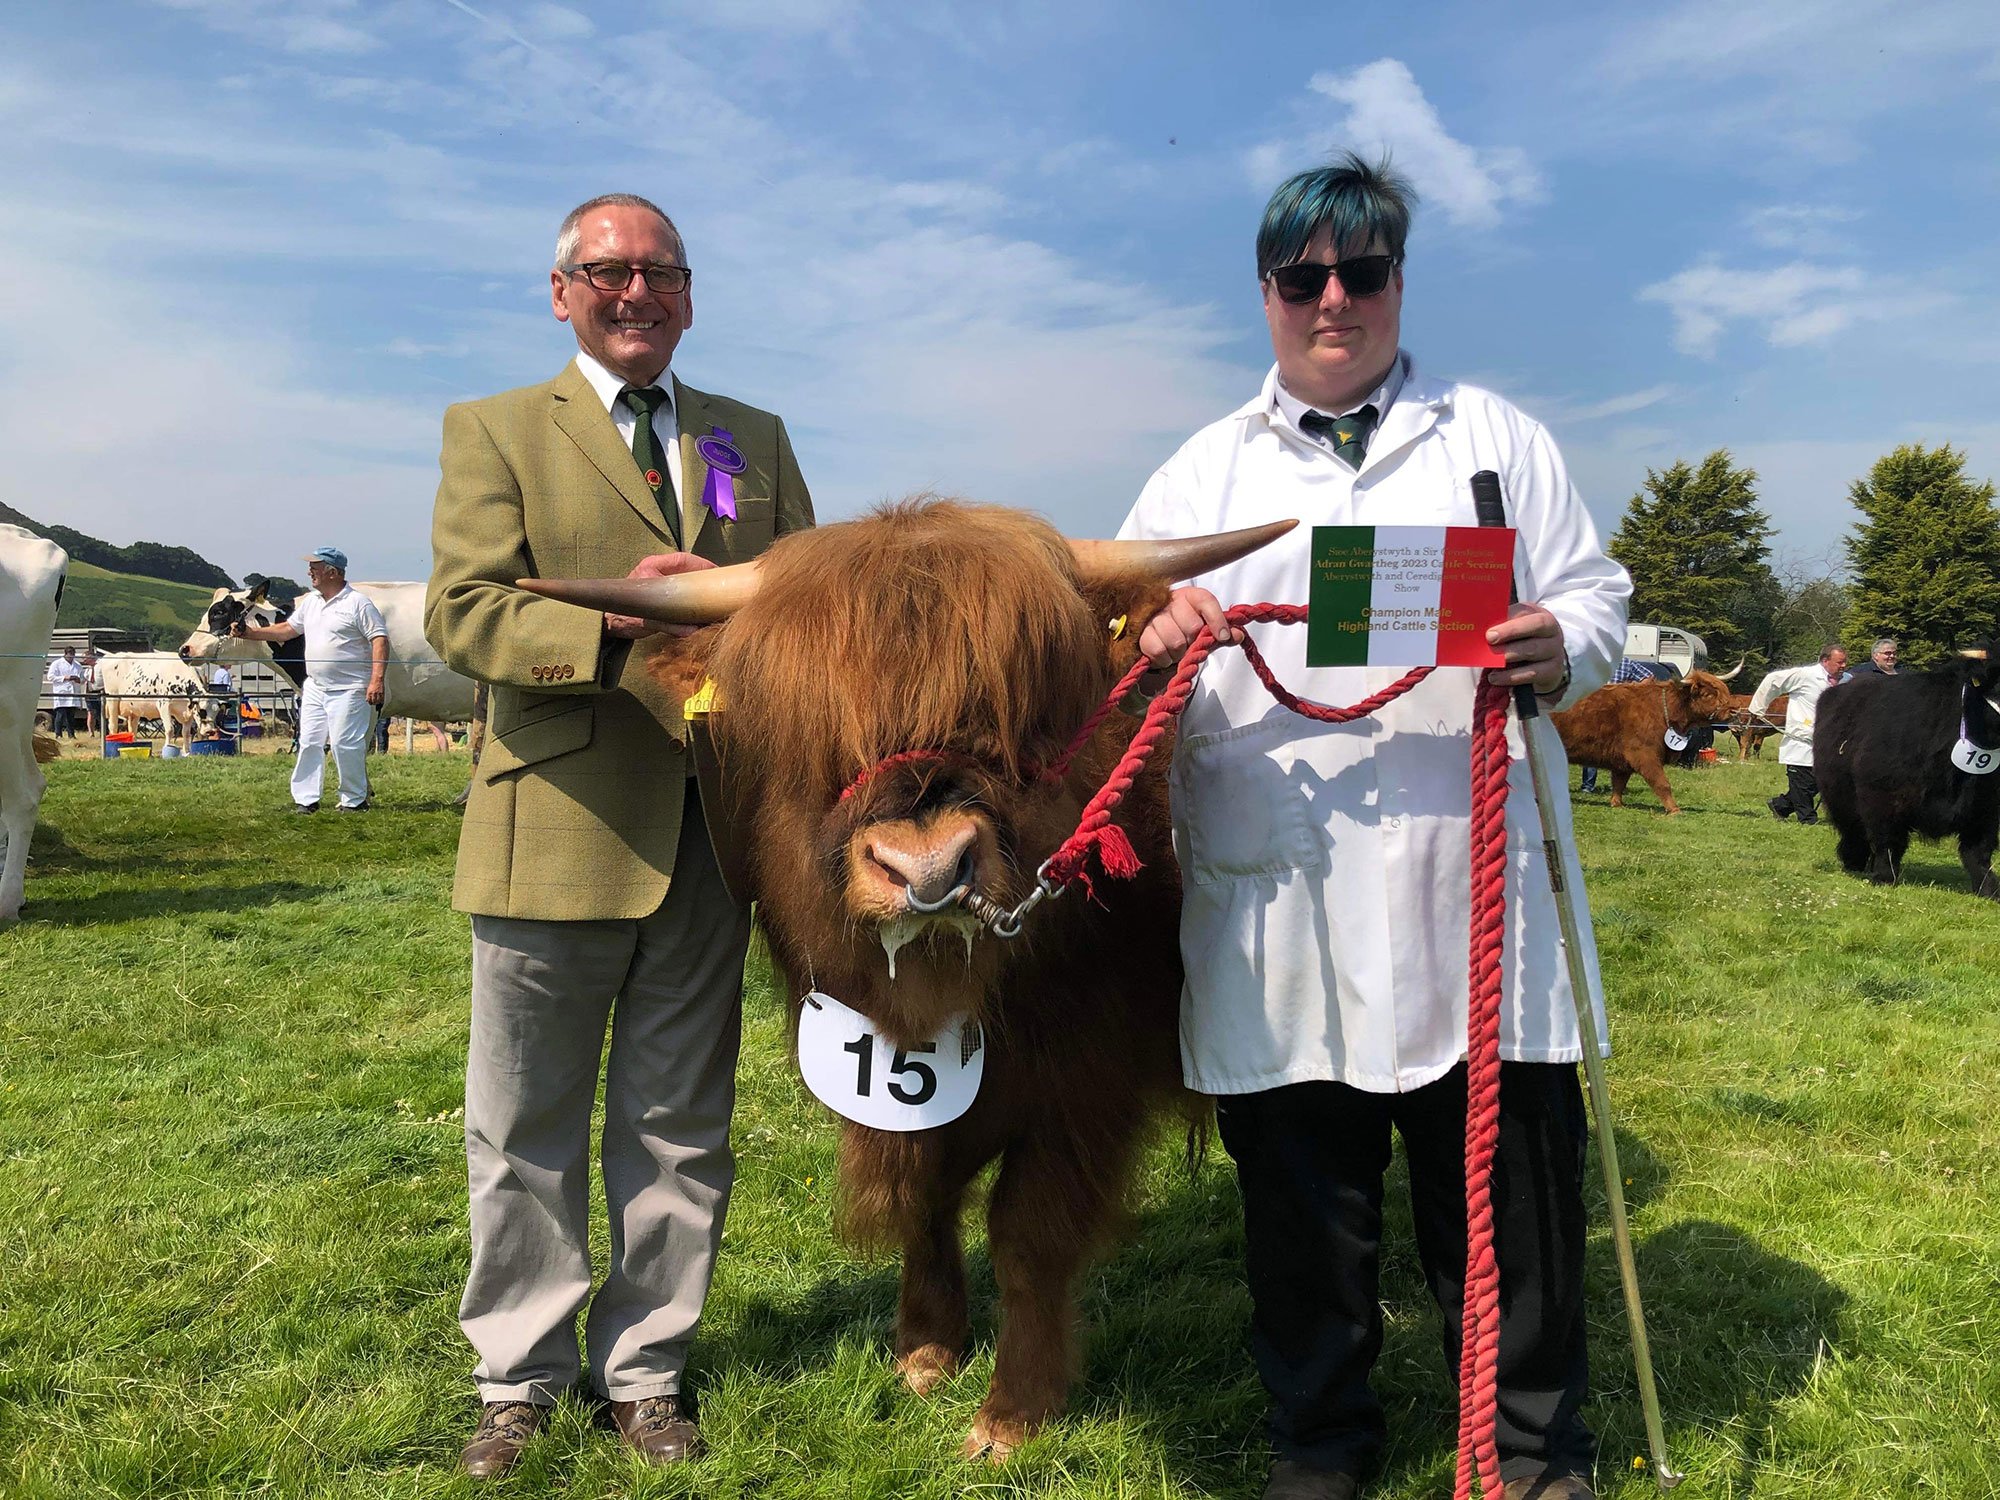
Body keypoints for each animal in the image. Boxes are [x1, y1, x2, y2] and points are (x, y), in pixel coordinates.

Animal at [1824, 648, 1992, 904]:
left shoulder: (1983, 808)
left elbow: (1979, 853)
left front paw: (1989, 889)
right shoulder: (1882, 798)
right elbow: (1888, 842)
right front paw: (1884, 877)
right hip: (1840, 796)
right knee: (1853, 832)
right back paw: (1854, 862)